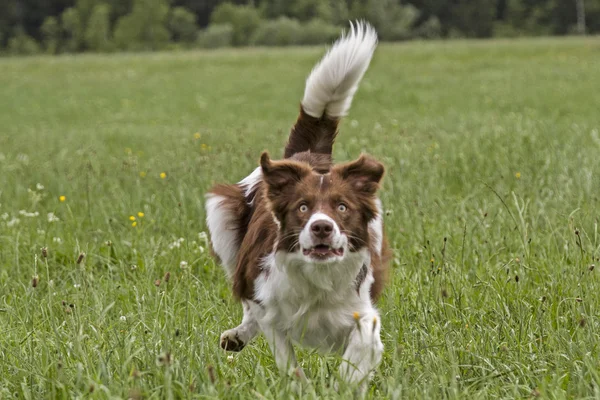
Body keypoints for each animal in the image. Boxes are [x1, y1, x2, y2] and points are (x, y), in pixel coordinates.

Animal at [204, 21, 392, 384]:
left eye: (342, 207)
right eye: (302, 208)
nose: (321, 228)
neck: (317, 278)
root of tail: (307, 155)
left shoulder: (361, 310)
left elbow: (362, 345)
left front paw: (344, 383)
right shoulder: (270, 305)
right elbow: (286, 358)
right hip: (222, 217)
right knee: (245, 302)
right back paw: (237, 335)